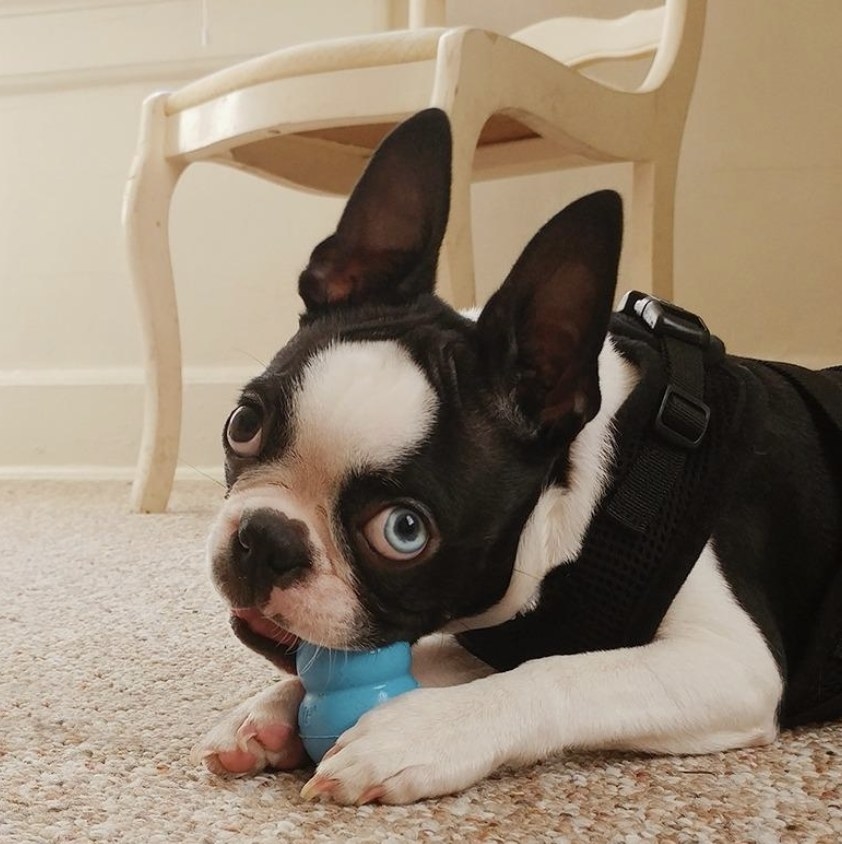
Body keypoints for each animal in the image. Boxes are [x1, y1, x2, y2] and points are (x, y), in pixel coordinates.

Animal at [192, 107, 840, 804]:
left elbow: (559, 675)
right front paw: (271, 709)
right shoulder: (501, 633)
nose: (264, 538)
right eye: (243, 424)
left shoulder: (730, 663)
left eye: (403, 531)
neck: (599, 496)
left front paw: (418, 734)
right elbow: (434, 656)